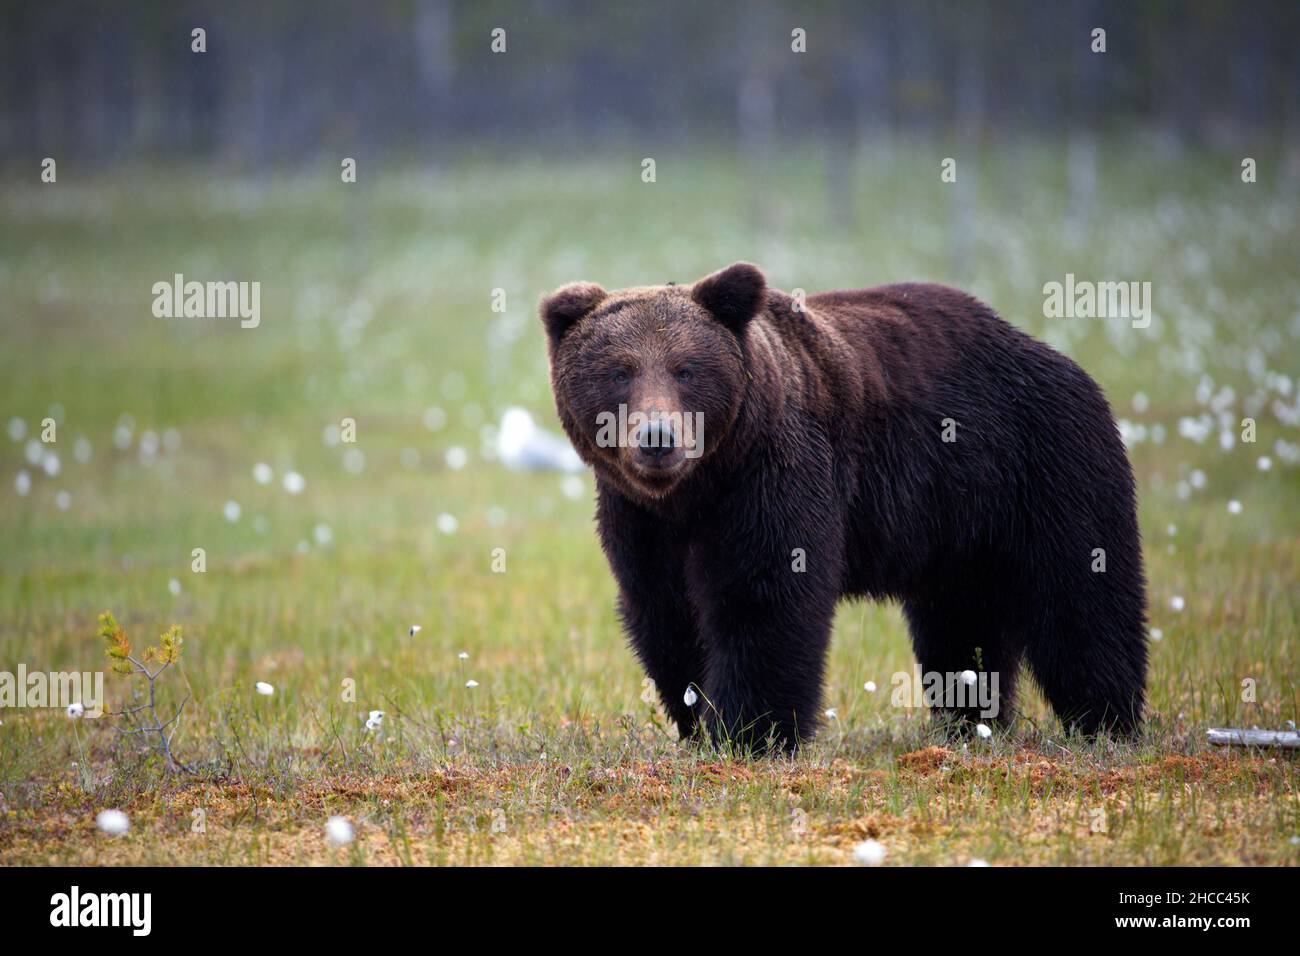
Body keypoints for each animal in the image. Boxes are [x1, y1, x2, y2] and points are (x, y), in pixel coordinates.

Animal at [540, 262, 1147, 754]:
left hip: (1044, 465)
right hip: (959, 525)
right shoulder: (638, 518)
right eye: (620, 371)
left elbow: (763, 597)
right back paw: (969, 719)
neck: (698, 489)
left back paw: (1106, 720)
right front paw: (696, 718)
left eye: (685, 369)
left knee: (1081, 596)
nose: (658, 438)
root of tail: (1051, 354)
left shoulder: (775, 476)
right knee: (961, 619)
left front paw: (751, 732)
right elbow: (664, 610)